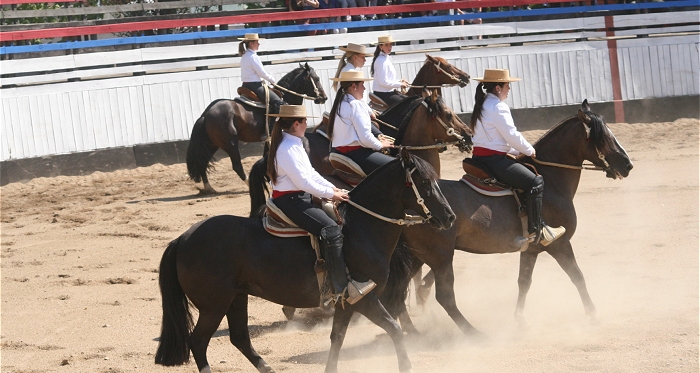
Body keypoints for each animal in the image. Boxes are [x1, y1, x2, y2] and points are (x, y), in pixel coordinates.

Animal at [156, 149, 456, 372]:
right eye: (425, 183)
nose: (449, 216)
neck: (361, 228)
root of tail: (182, 239)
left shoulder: (345, 303)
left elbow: (337, 338)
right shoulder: (365, 299)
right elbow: (394, 328)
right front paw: (406, 365)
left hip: (236, 298)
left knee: (239, 338)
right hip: (214, 305)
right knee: (198, 342)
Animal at [186, 61, 328, 192]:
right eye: (316, 79)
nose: (324, 98)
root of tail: (206, 114)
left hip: (212, 144)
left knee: (202, 162)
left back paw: (208, 187)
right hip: (230, 143)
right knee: (237, 166)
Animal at [386, 99, 636, 334]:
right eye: (602, 137)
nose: (627, 165)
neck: (551, 181)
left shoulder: (532, 249)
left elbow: (524, 282)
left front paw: (520, 319)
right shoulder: (560, 244)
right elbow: (577, 276)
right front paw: (593, 314)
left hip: (416, 257)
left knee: (399, 292)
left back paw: (412, 330)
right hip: (440, 257)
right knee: (442, 297)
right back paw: (471, 332)